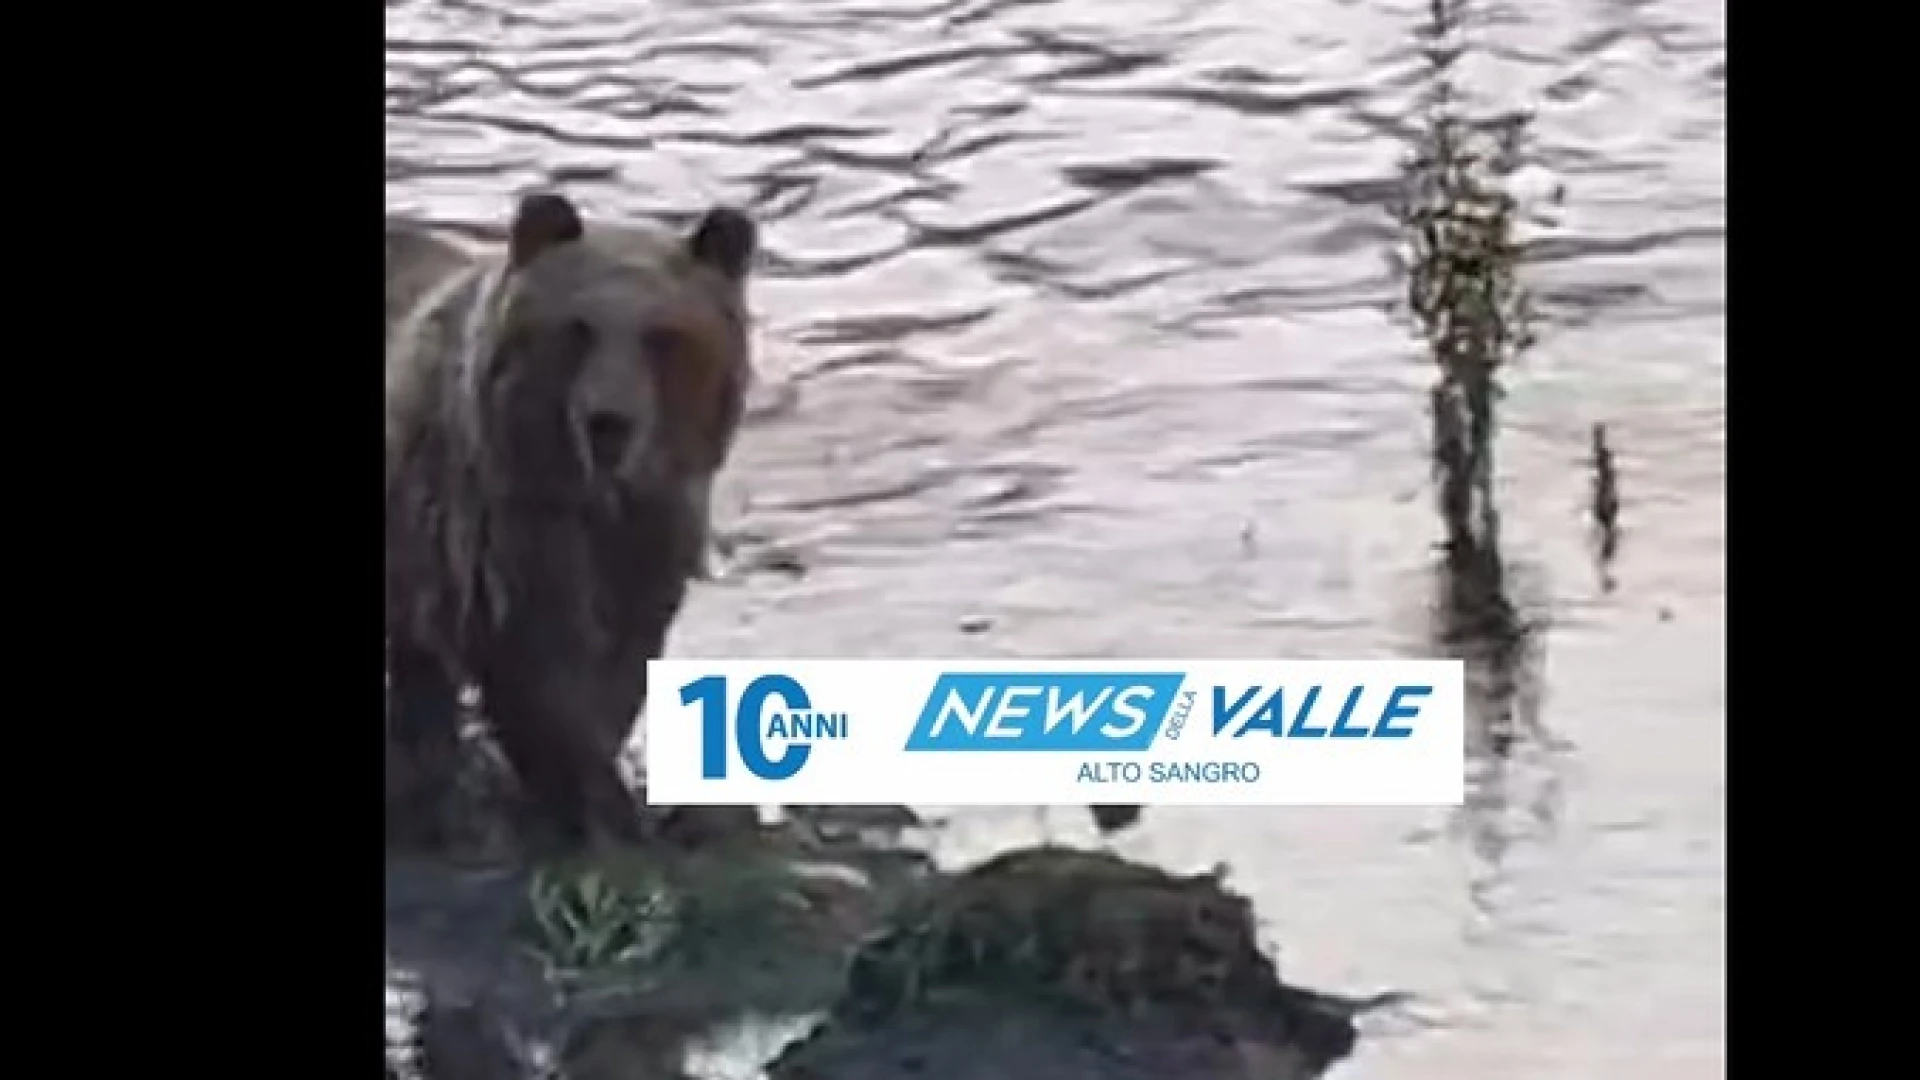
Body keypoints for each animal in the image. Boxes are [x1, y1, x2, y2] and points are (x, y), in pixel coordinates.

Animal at [385, 191, 757, 849]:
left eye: (662, 336)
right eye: (577, 329)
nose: (608, 423)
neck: (595, 497)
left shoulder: (648, 535)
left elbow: (621, 666)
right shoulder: (507, 529)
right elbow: (539, 673)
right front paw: (599, 807)